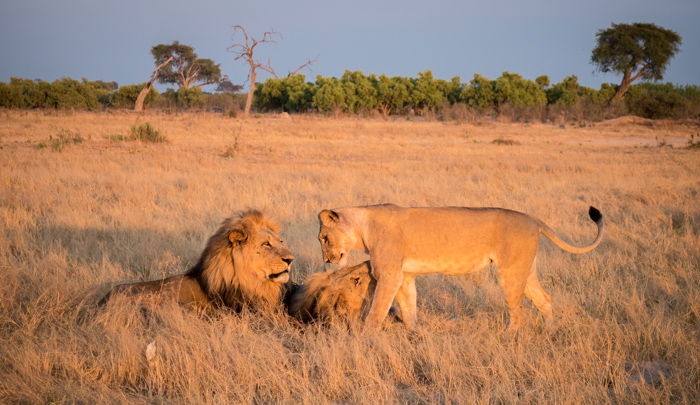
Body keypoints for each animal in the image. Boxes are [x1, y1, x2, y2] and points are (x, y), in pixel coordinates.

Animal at [320, 204, 604, 330]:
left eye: (324, 238)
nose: (327, 260)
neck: (363, 226)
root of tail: (533, 219)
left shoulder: (389, 275)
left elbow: (377, 312)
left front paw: (365, 338)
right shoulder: (405, 275)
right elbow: (409, 307)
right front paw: (415, 334)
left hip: (509, 272)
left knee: (519, 312)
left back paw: (509, 337)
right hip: (526, 269)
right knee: (544, 299)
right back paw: (550, 331)